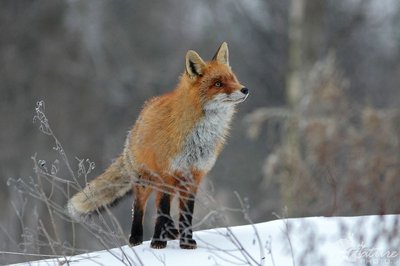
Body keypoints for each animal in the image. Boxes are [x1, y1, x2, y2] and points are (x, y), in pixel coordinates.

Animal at [67, 42, 248, 249]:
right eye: (218, 83)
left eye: (232, 79)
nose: (245, 89)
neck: (196, 139)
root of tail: (136, 123)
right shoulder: (166, 174)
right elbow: (162, 210)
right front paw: (158, 242)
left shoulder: (193, 177)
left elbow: (186, 214)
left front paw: (186, 243)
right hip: (146, 181)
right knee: (140, 207)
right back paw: (136, 238)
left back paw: (171, 232)